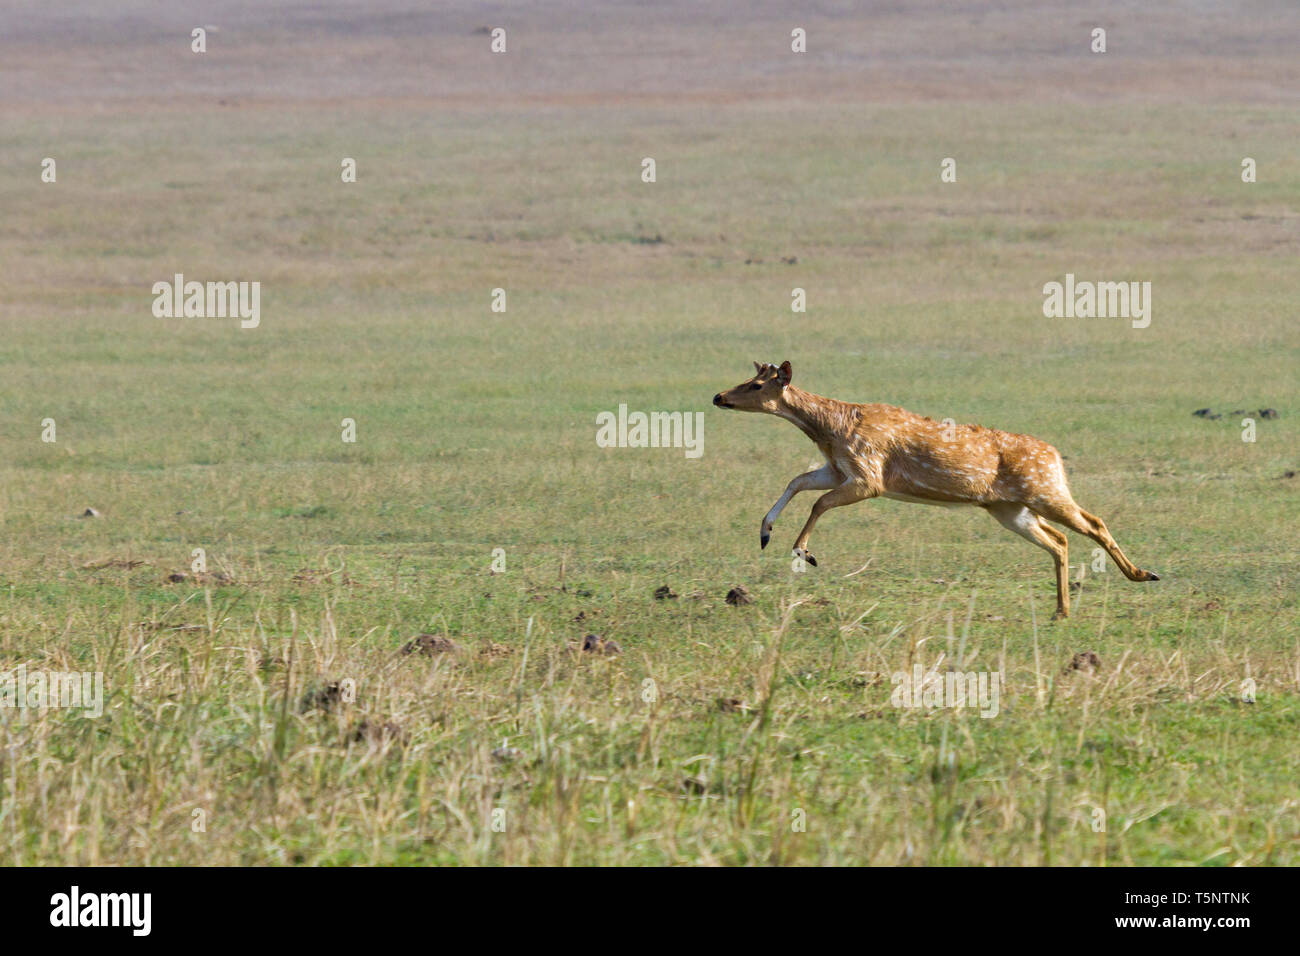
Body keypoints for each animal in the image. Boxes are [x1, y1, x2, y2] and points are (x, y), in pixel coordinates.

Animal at [717, 361, 1164, 621]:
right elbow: (797, 481)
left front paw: (803, 552)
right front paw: (765, 533)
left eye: (757, 385)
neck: (830, 431)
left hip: (1044, 490)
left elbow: (818, 500)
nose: (719, 396)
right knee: (1058, 540)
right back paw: (1061, 611)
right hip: (1009, 509)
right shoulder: (839, 468)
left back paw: (1144, 574)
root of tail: (1055, 456)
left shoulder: (870, 475)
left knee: (1093, 522)